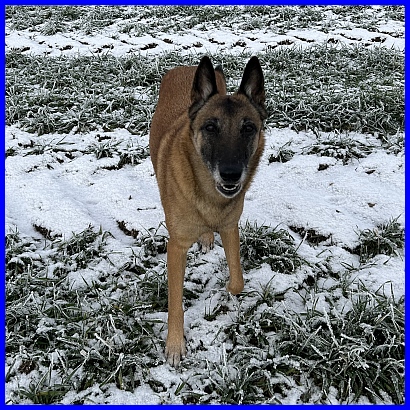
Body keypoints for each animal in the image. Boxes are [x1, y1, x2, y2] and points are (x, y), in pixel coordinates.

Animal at [149, 56, 266, 366]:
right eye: (211, 128)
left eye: (248, 128)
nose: (231, 174)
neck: (208, 195)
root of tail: (187, 67)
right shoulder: (176, 247)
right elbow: (175, 303)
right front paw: (175, 344)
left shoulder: (230, 227)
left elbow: (238, 279)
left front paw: (226, 290)